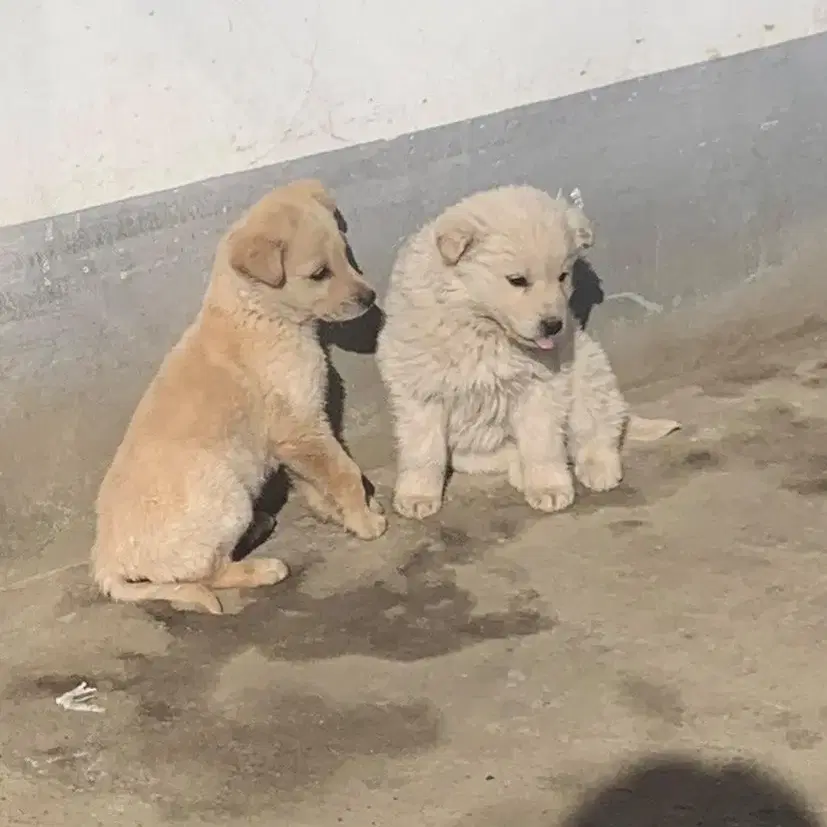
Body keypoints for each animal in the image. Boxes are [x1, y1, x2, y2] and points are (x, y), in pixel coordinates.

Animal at [92, 181, 390, 616]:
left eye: (345, 255)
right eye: (319, 274)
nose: (370, 297)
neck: (262, 314)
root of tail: (107, 561)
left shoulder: (296, 435)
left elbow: (315, 481)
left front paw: (337, 512)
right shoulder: (302, 427)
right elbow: (344, 473)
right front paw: (363, 520)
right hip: (227, 494)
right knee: (209, 573)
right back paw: (262, 568)